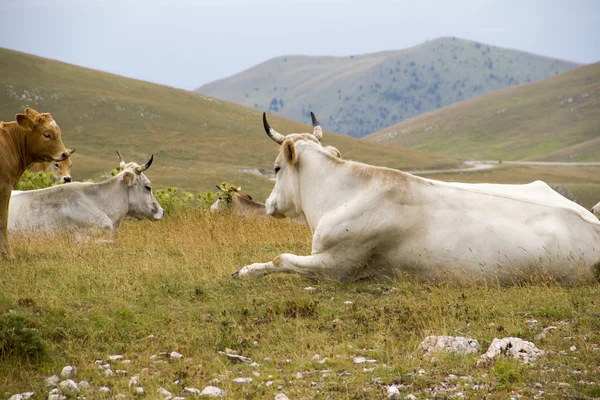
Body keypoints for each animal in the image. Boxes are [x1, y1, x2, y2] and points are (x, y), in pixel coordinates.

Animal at [0, 109, 71, 260]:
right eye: (47, 134)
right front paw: (8, 255)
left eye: (59, 132)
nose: (64, 154)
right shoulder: (5, 186)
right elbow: (3, 220)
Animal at [233, 111, 600, 282]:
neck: (342, 194)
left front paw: (247, 271)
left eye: (276, 167)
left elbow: (280, 259)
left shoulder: (337, 264)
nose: (268, 204)